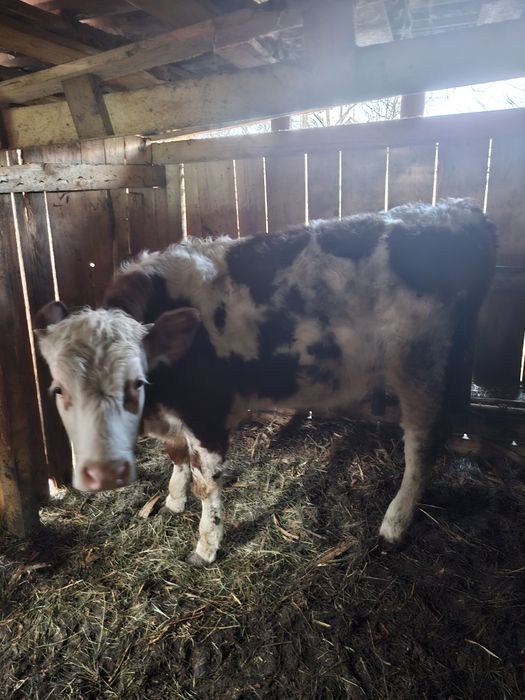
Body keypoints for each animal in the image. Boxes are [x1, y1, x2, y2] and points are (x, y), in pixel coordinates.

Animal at [34, 199, 496, 565]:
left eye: (136, 383)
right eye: (59, 390)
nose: (104, 473)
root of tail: (456, 208)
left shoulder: (207, 412)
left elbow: (206, 483)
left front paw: (206, 546)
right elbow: (175, 457)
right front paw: (172, 501)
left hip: (419, 364)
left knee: (421, 444)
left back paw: (394, 525)